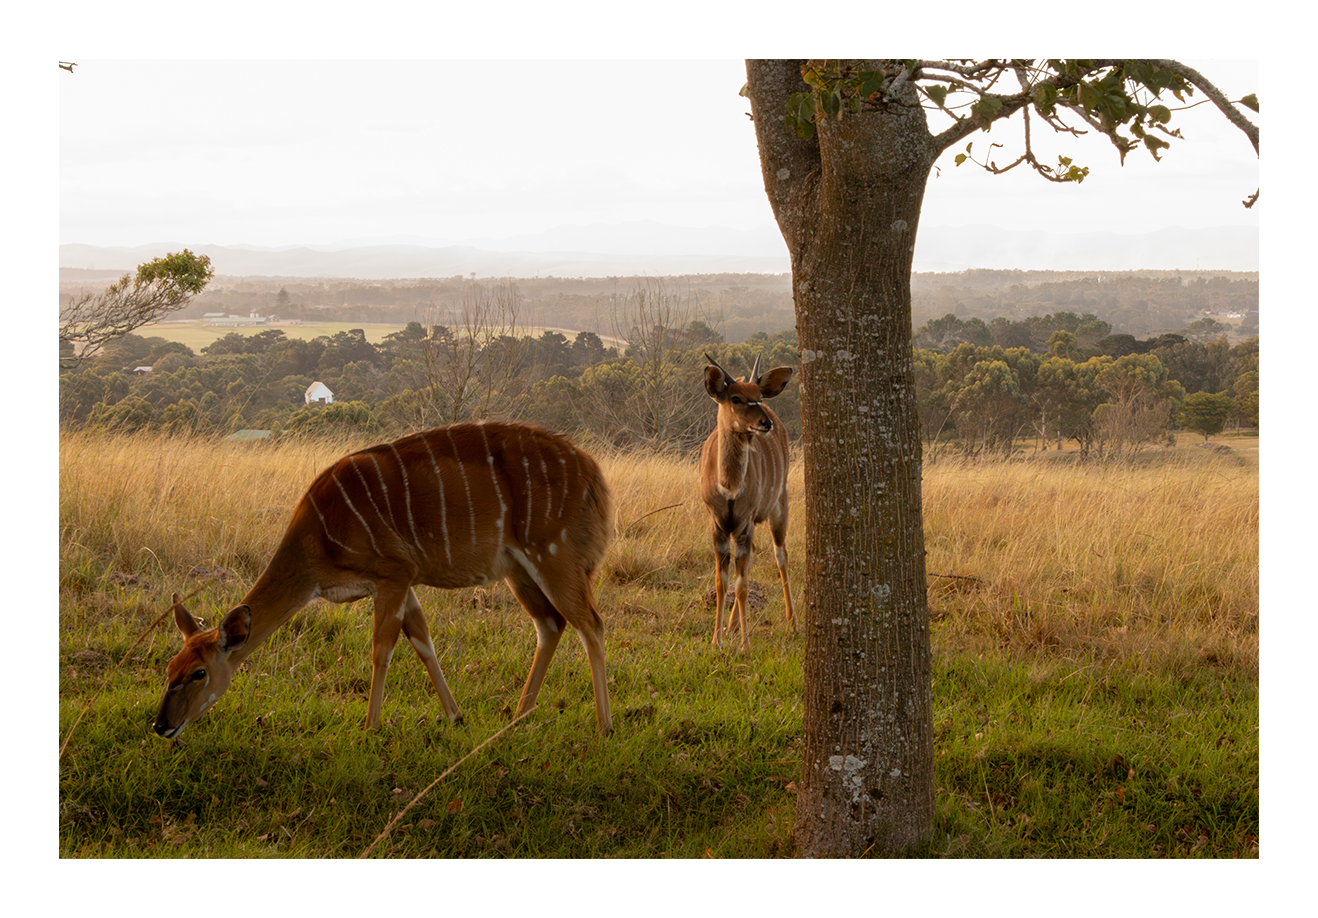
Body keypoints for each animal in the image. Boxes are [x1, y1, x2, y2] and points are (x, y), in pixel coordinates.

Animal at [154, 421, 614, 738]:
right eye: (169, 667)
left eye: (198, 673)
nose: (161, 726)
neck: (317, 539)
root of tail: (595, 473)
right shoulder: (403, 583)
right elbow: (423, 642)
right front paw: (456, 718)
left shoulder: (393, 573)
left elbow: (382, 650)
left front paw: (370, 727)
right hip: (519, 571)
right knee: (551, 624)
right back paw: (517, 718)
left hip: (554, 556)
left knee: (590, 624)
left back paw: (604, 727)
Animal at [699, 353, 795, 652]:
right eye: (736, 398)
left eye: (759, 396)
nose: (765, 423)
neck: (729, 486)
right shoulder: (718, 525)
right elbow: (723, 582)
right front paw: (717, 640)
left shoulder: (744, 524)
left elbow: (741, 586)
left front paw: (745, 645)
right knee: (750, 562)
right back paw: (731, 627)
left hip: (779, 507)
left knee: (780, 556)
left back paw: (792, 622)